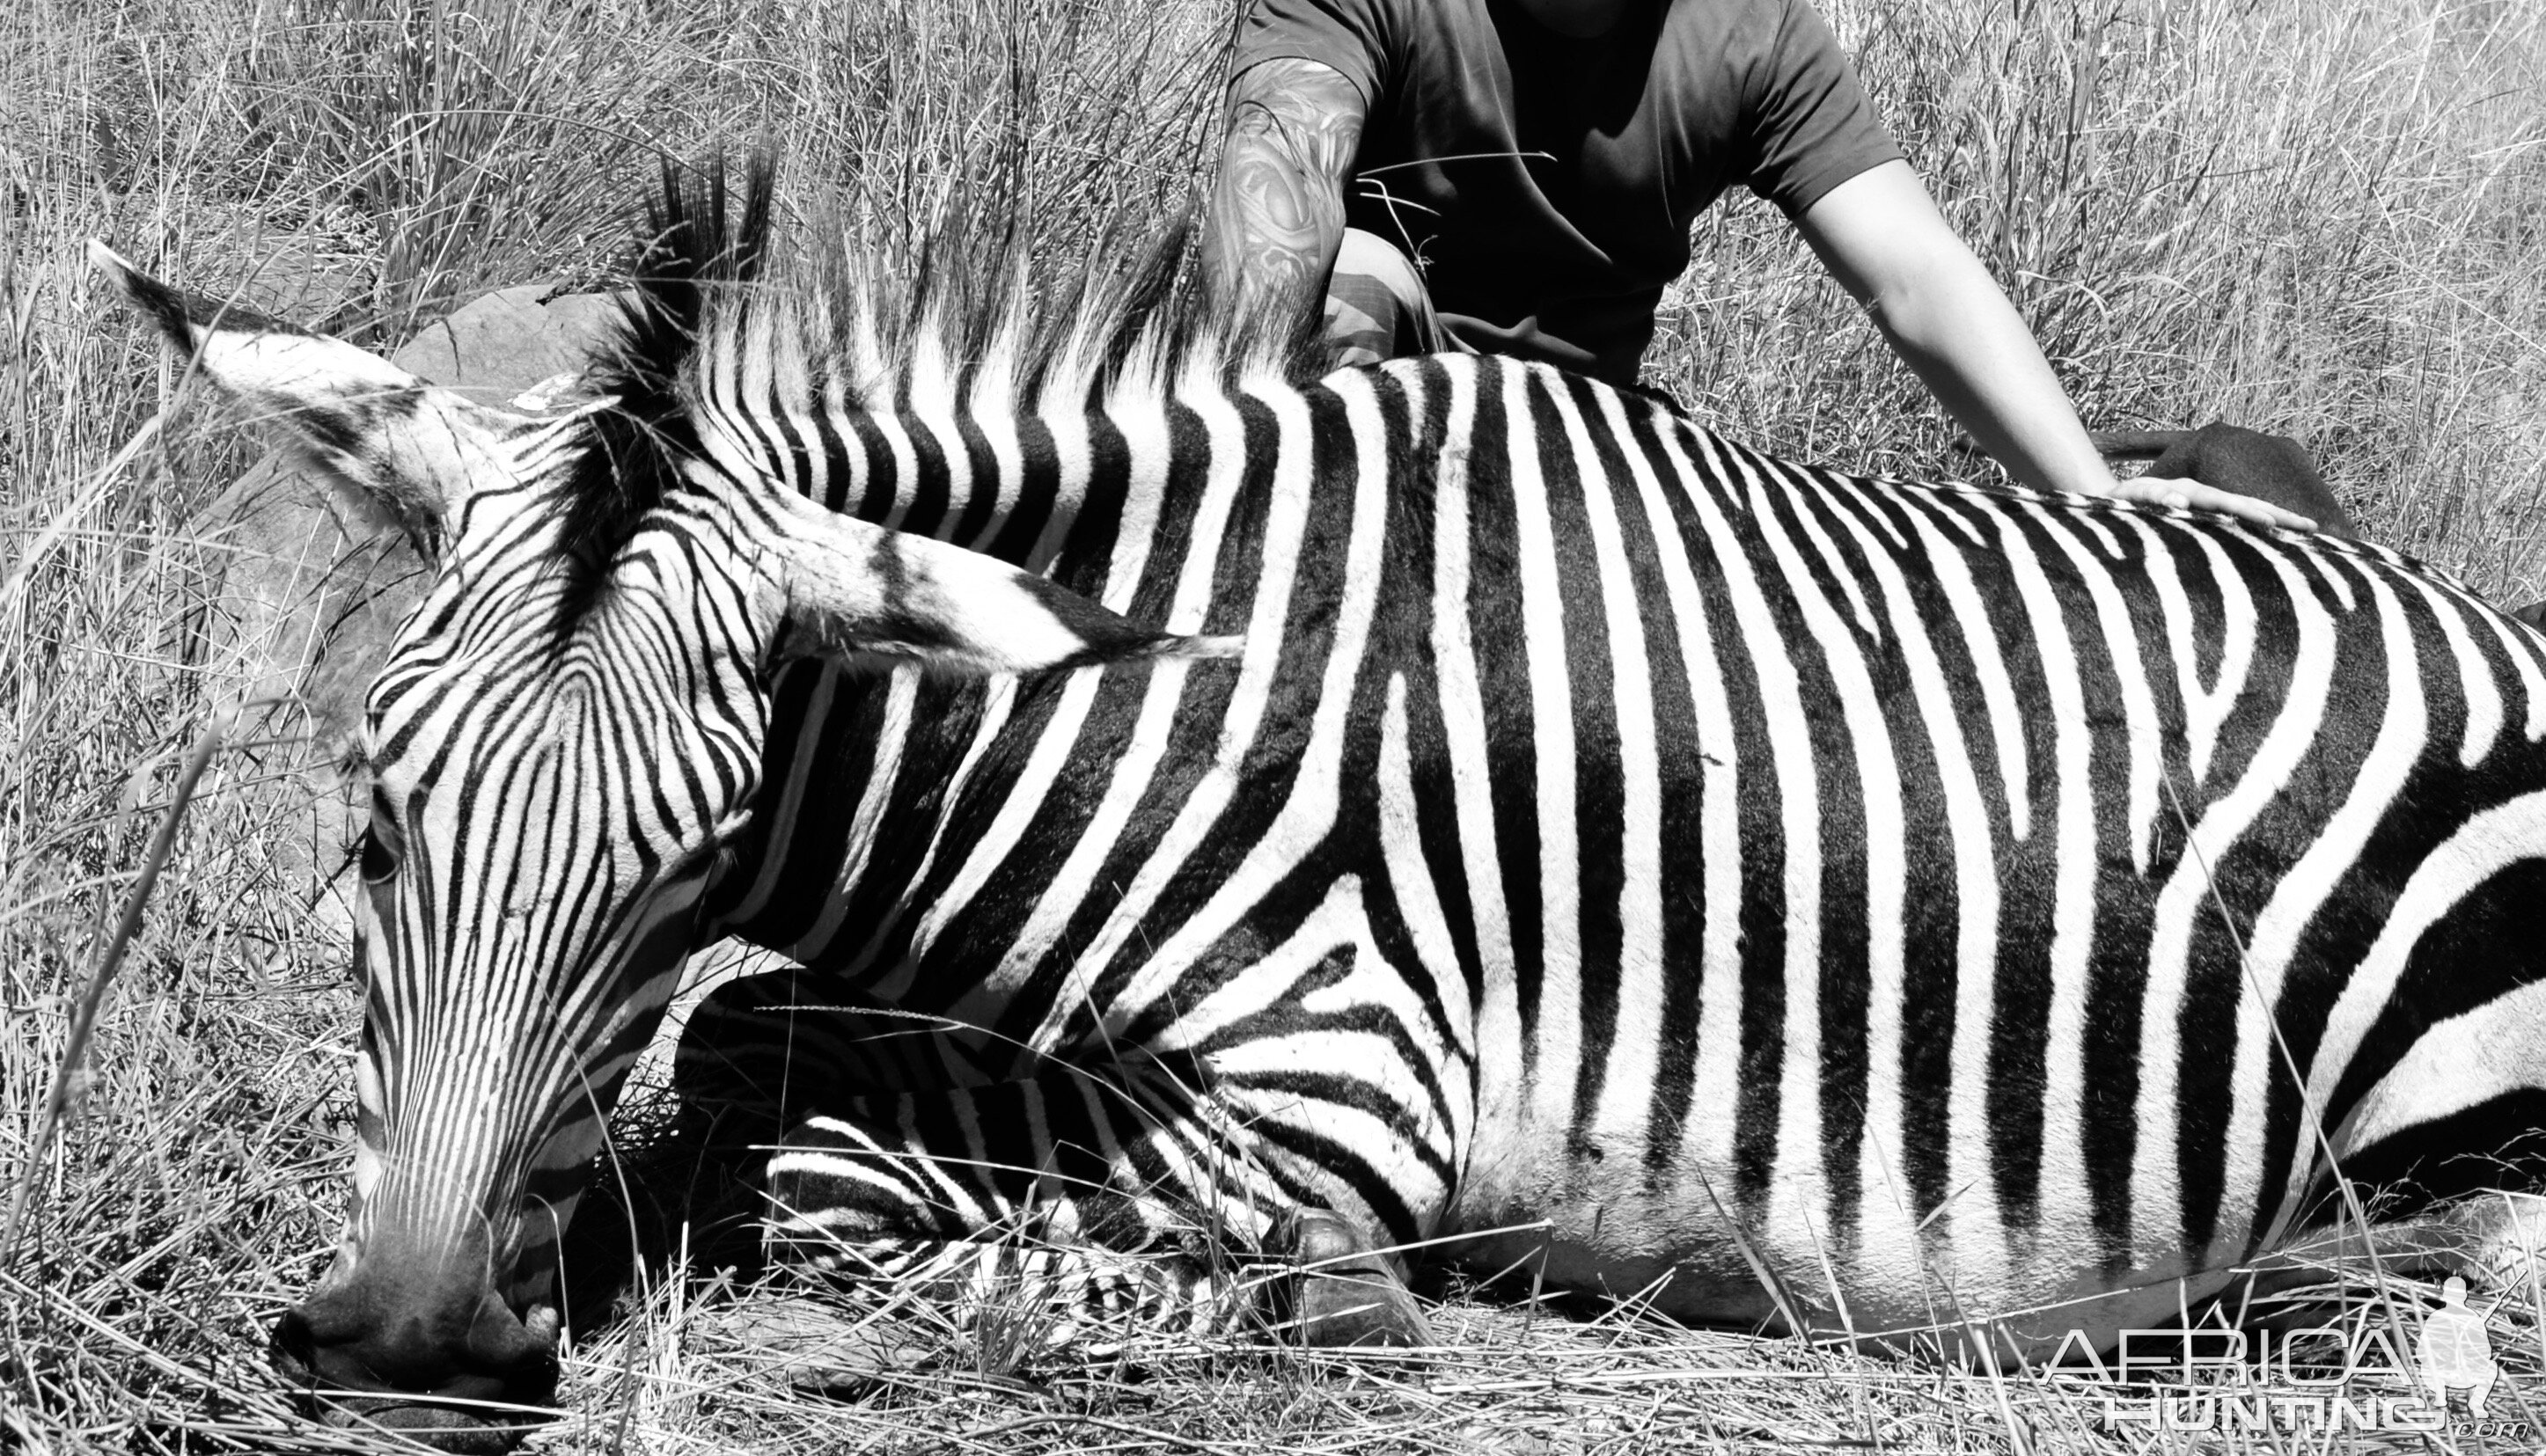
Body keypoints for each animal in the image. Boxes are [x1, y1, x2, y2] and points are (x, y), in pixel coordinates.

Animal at [89, 156, 2546, 1435]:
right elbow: (763, 1058)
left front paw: (1328, 1299)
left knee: (2453, 1308)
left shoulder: (1350, 1075)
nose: (400, 1356)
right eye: (373, 821)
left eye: (686, 859)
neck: (1161, 699)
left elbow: (824, 1165)